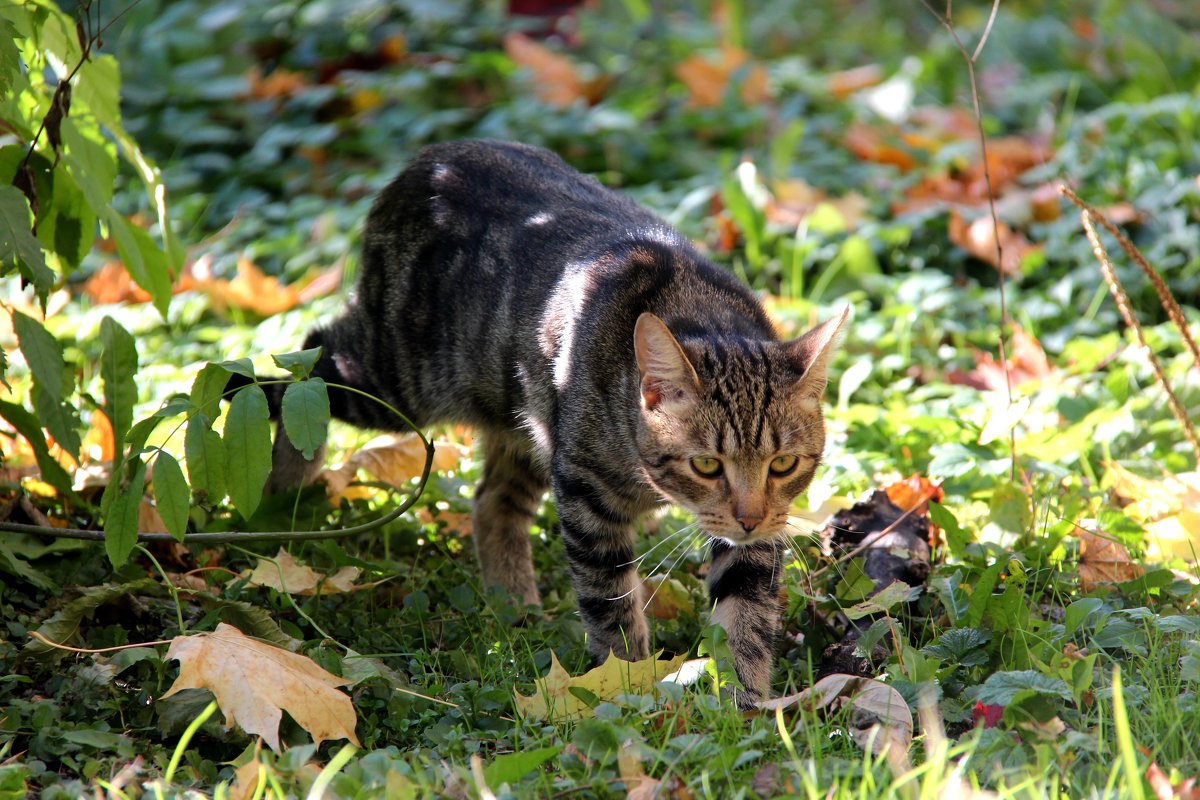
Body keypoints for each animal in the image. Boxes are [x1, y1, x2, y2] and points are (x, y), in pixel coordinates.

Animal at [265, 139, 844, 705]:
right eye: (706, 465)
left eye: (783, 464)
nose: (749, 519)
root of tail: (427, 159)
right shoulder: (587, 496)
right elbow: (610, 603)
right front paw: (629, 688)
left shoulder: (760, 533)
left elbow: (744, 616)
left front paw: (745, 703)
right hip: (396, 383)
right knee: (306, 362)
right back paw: (283, 490)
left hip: (527, 420)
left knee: (492, 502)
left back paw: (514, 606)